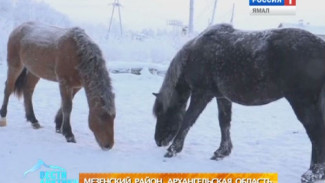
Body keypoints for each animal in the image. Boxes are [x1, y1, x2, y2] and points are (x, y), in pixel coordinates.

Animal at [152, 23, 324, 182]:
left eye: (160, 112)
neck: (194, 53)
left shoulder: (202, 93)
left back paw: (314, 172)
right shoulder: (222, 97)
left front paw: (173, 150)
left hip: (302, 102)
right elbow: (224, 122)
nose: (158, 141)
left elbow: (188, 120)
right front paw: (222, 152)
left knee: (315, 131)